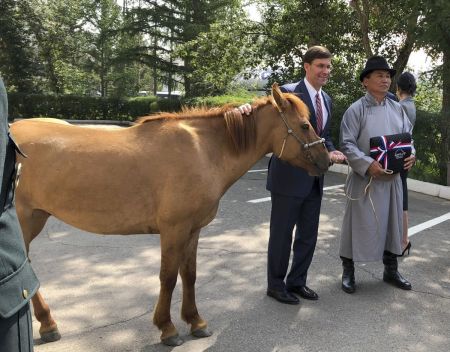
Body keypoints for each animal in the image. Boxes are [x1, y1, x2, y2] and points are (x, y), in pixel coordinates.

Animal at [10, 83, 326, 346]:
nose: (325, 160)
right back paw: (48, 324)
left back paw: (48, 324)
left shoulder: (193, 230)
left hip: (36, 217)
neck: (204, 151)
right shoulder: (174, 229)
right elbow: (169, 277)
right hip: (24, 221)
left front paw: (195, 321)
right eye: (304, 125)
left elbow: (189, 274)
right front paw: (168, 328)